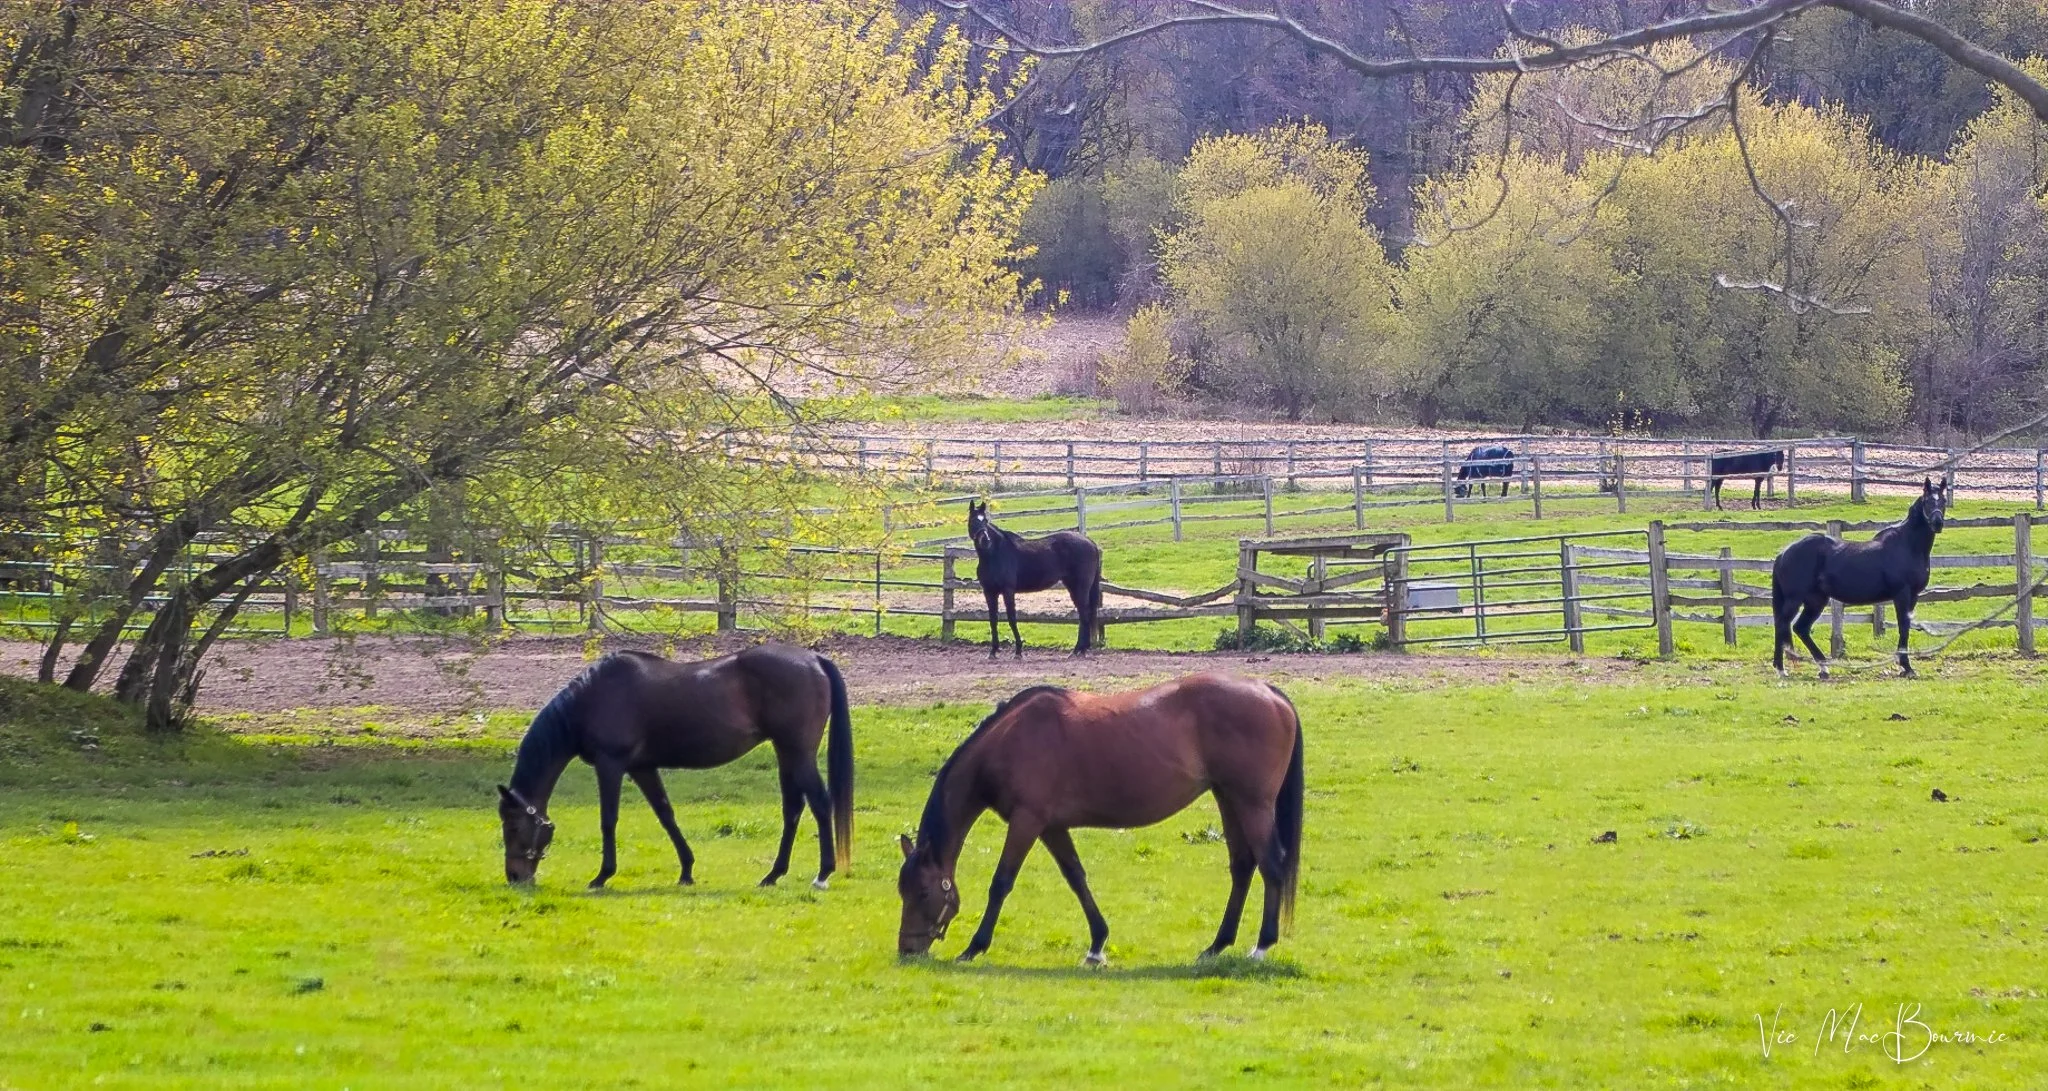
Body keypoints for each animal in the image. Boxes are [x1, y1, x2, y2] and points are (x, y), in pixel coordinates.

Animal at [496, 644, 853, 890]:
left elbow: (608, 820)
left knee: (820, 804)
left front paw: (602, 876)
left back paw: (823, 873)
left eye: (512, 827)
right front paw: (687, 871)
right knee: (793, 808)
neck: (592, 699)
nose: (514, 876)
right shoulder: (642, 768)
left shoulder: (610, 764)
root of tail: (814, 659)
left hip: (798, 753)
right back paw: (773, 874)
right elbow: (666, 815)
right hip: (786, 753)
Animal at [894, 674, 1304, 966]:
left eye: (924, 892)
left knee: (1270, 866)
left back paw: (1261, 946)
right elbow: (1077, 878)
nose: (908, 950)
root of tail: (1269, 692)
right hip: (1228, 799)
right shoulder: (1051, 827)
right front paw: (1097, 945)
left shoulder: (1027, 822)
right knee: (1243, 866)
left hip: (1252, 804)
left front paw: (974, 947)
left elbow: (1001, 883)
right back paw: (1217, 945)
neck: (1011, 738)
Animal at [966, 498, 1104, 658]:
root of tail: (1090, 542)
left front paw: (1018, 651)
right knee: (1083, 614)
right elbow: (993, 619)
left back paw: (1079, 650)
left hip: (1081, 587)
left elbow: (1012, 618)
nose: (985, 540)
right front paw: (993, 651)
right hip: (1072, 586)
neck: (994, 555)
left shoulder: (1008, 590)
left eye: (985, 520)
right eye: (973, 520)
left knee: (1084, 614)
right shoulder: (989, 592)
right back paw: (1079, 650)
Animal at [1770, 478, 1948, 679]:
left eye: (1943, 500)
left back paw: (1823, 668)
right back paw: (1781, 669)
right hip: (1795, 599)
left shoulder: (1913, 596)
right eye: (1928, 501)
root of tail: (1783, 553)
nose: (1938, 523)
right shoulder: (1902, 594)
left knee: (1800, 628)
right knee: (1782, 624)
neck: (1908, 545)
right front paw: (1907, 667)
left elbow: (1906, 627)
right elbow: (1903, 626)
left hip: (1816, 600)